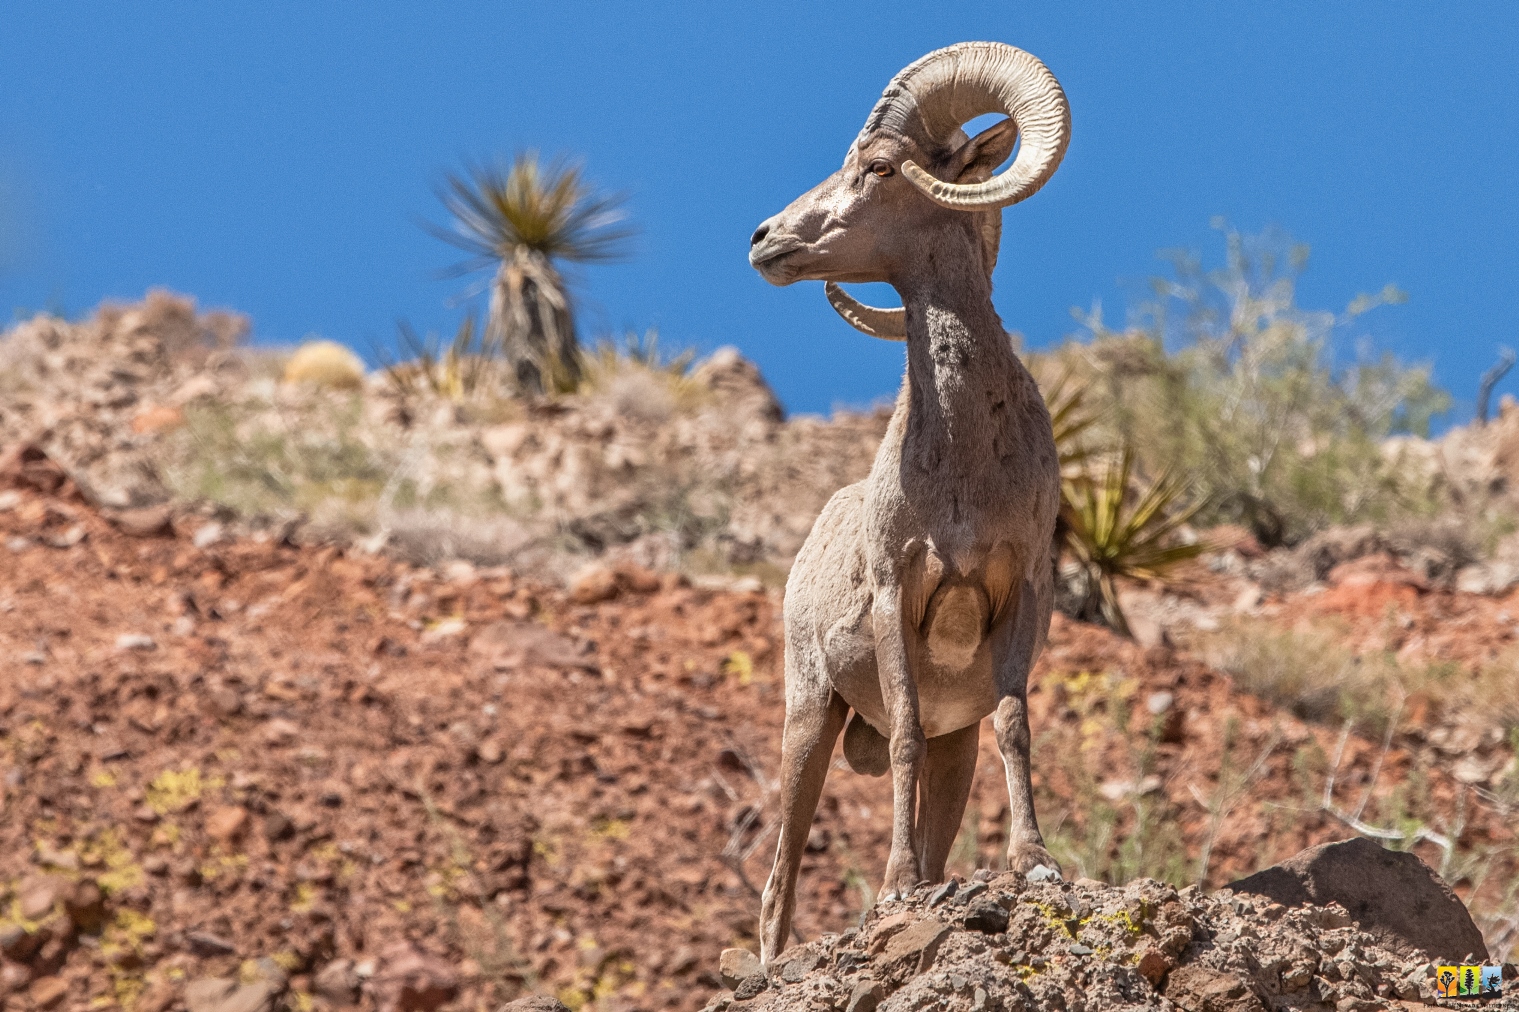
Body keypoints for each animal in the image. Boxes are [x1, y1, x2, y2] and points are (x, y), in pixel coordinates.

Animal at [747, 41, 1070, 962]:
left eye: (881, 167)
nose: (764, 239)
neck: (962, 467)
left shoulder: (1018, 596)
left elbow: (1014, 726)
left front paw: (1036, 866)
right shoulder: (899, 591)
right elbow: (899, 738)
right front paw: (894, 890)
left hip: (949, 753)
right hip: (807, 719)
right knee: (778, 879)